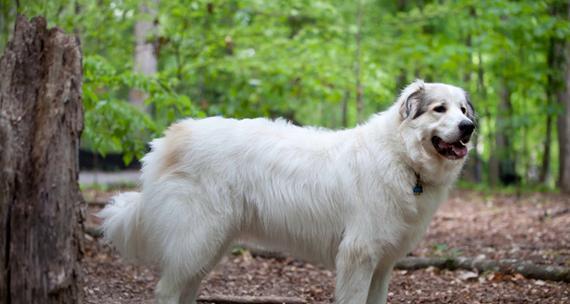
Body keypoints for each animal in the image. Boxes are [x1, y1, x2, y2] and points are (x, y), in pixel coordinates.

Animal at [98, 81, 474, 304]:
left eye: (463, 110)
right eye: (439, 109)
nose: (468, 127)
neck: (402, 157)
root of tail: (171, 138)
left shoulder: (382, 264)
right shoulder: (358, 255)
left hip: (209, 244)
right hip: (197, 237)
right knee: (167, 290)